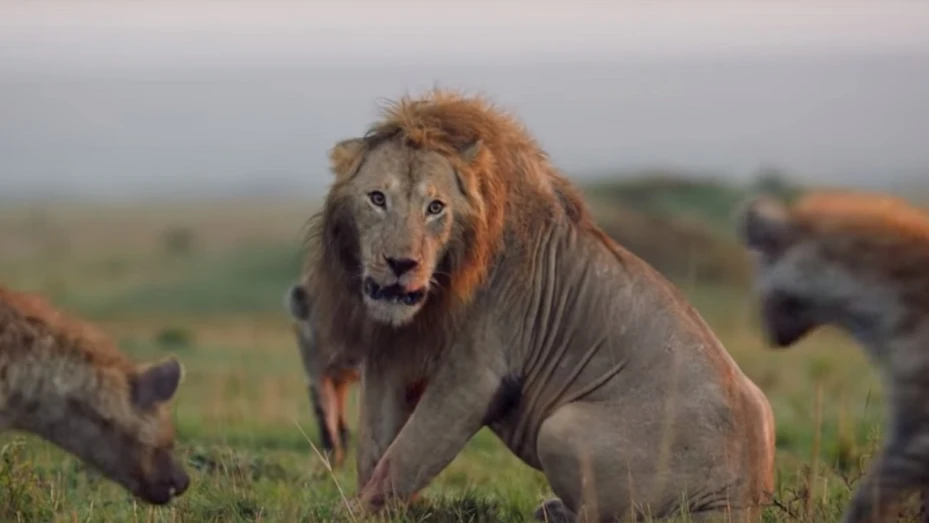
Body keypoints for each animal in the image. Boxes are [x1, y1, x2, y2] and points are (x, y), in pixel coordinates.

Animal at [300, 91, 776, 523]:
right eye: (378, 199)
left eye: (435, 208)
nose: (402, 264)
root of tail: (740, 499)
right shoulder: (390, 354)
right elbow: (375, 448)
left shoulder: (475, 372)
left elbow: (406, 454)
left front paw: (350, 512)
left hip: (561, 429)